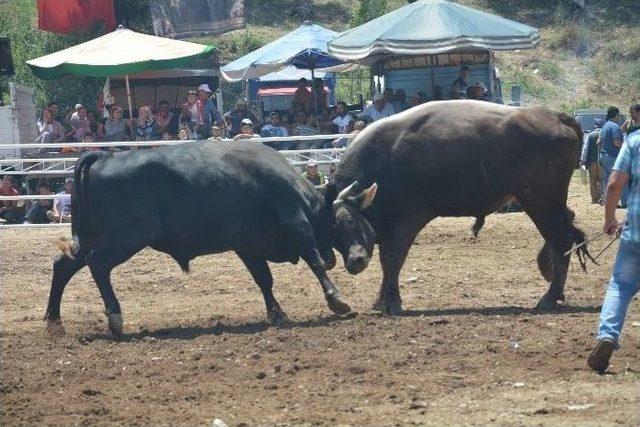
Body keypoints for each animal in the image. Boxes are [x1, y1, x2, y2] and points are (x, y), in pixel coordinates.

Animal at [45, 142, 352, 336]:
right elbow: (313, 260)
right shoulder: (296, 223)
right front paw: (336, 299)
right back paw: (115, 317)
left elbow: (264, 279)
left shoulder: (247, 245)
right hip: (124, 239)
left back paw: (54, 322)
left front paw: (277, 313)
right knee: (98, 265)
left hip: (91, 239)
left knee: (63, 265)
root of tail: (104, 157)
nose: (341, 259)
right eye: (339, 222)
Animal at [330, 99, 596, 314]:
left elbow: (394, 258)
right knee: (567, 227)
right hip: (546, 204)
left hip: (540, 202)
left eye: (350, 221)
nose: (355, 262)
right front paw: (381, 299)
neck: (386, 158)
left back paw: (549, 298)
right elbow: (386, 261)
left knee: (562, 242)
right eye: (333, 228)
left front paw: (393, 302)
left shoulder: (409, 219)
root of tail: (554, 116)